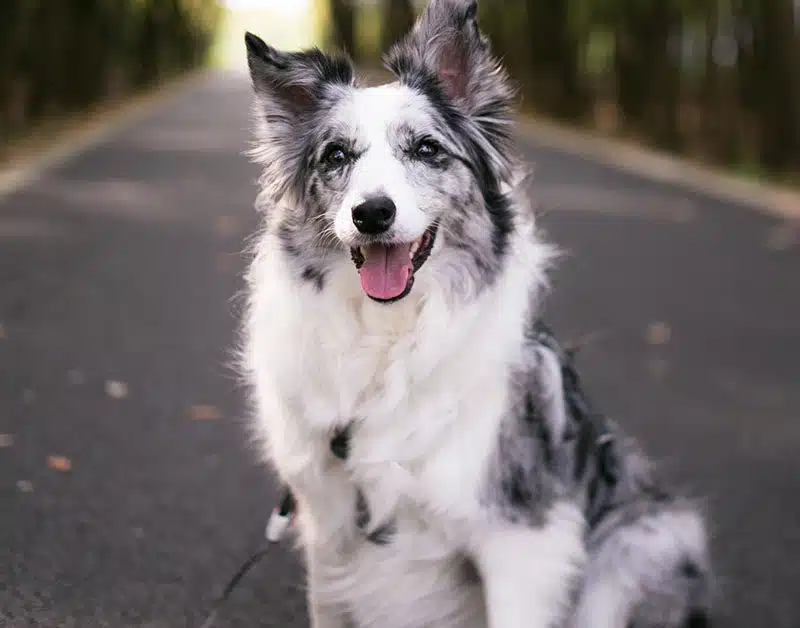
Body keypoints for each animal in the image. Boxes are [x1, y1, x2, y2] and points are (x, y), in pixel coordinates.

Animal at [239, 2, 712, 624]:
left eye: (427, 149)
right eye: (336, 156)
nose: (372, 213)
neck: (390, 338)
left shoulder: (523, 540)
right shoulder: (329, 531)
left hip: (649, 537)